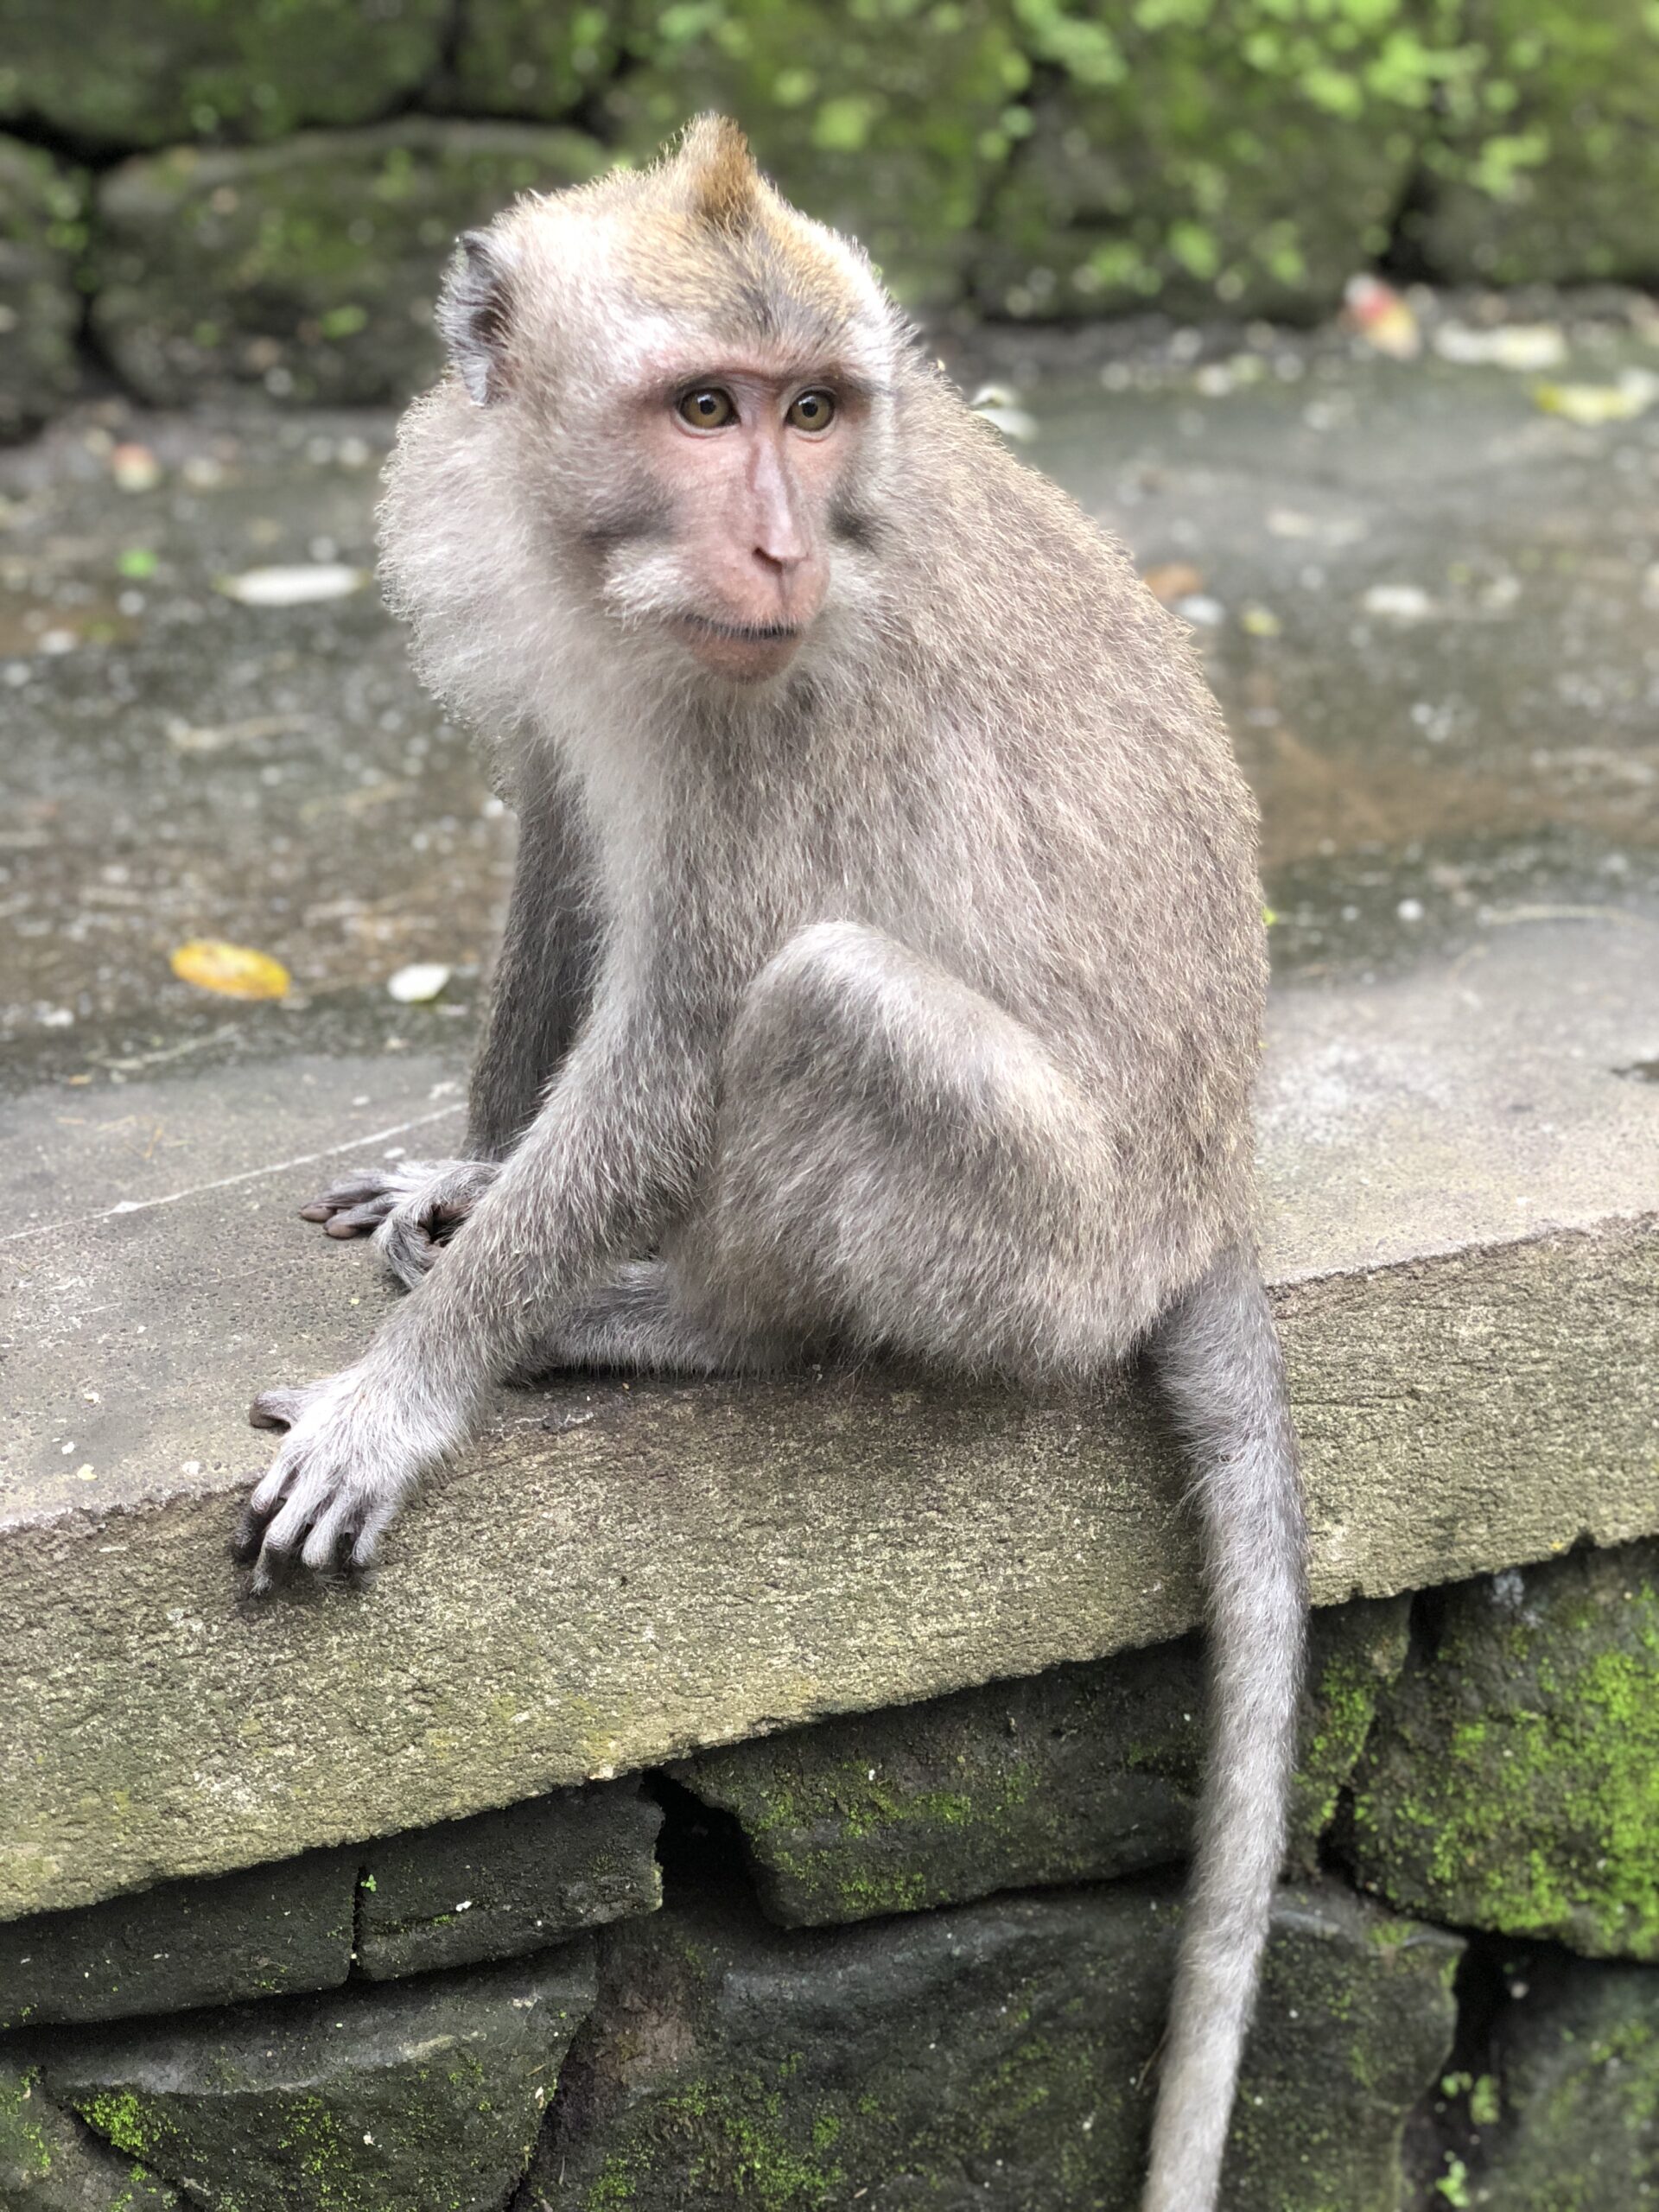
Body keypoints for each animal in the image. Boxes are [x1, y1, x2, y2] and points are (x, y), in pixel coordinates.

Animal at [237, 118, 1306, 2212]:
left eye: (815, 412)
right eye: (708, 407)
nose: (788, 544)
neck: (597, 563)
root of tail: (1205, 1198)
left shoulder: (782, 705)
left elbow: (677, 1046)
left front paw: (413, 1389)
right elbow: (563, 835)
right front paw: (467, 1167)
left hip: (1040, 1243)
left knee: (821, 1002)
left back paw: (689, 1323)